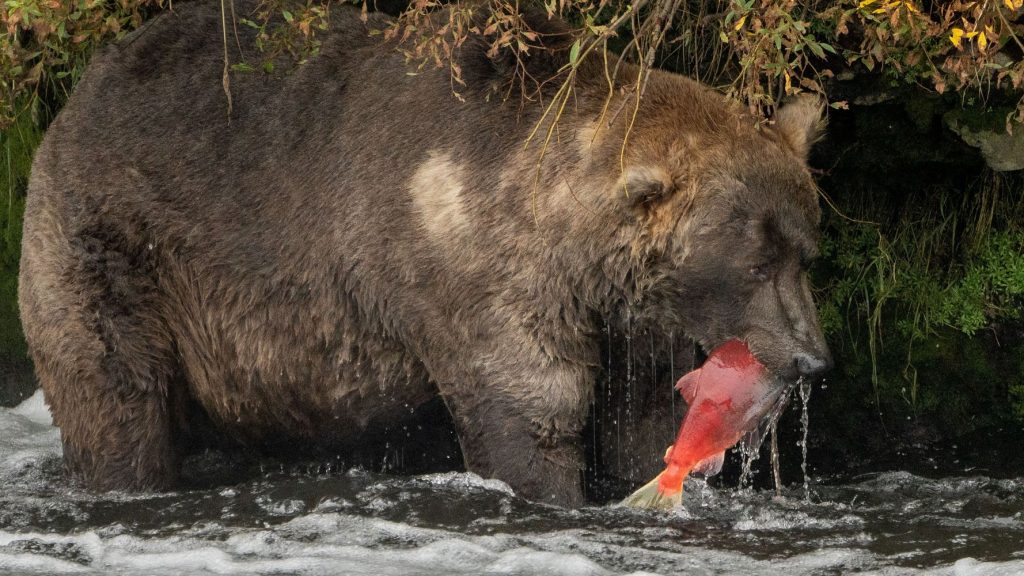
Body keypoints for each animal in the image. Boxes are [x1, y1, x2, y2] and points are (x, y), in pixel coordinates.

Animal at [16, 1, 831, 502]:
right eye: (755, 261)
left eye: (804, 252)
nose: (811, 358)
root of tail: (78, 92)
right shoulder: (478, 274)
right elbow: (534, 410)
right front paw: (554, 487)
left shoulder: (629, 316)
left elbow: (640, 417)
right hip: (114, 246)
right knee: (116, 396)